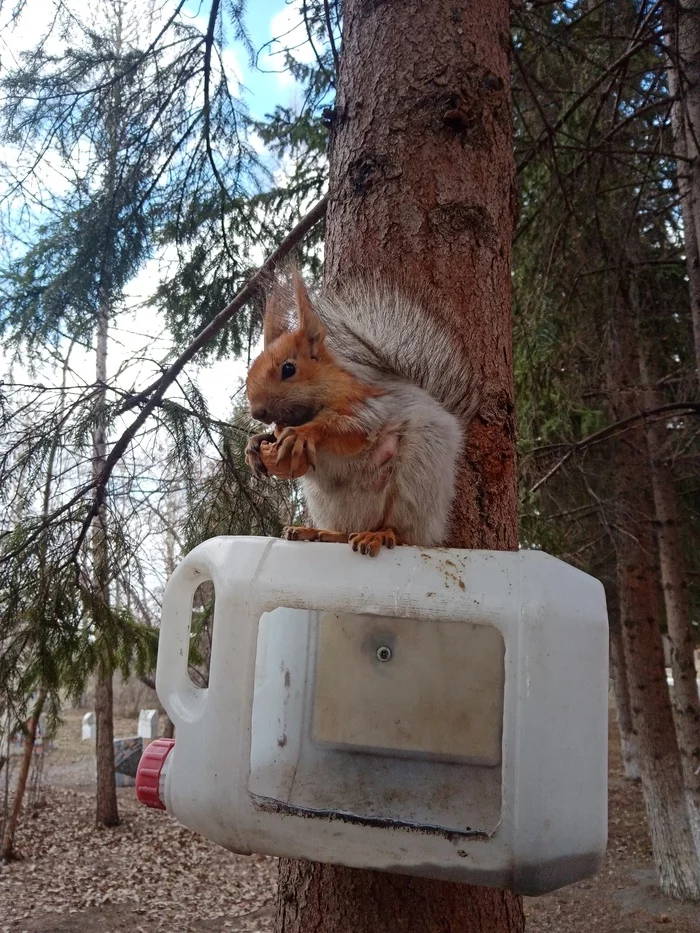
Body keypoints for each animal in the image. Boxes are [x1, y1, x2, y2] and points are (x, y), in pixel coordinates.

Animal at [243, 270, 478, 556]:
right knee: (346, 532)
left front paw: (303, 434)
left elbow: (349, 428)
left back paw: (378, 535)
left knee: (401, 531)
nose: (257, 412)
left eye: (288, 369)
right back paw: (316, 532)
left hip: (418, 475)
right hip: (326, 503)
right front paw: (256, 443)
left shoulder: (368, 405)